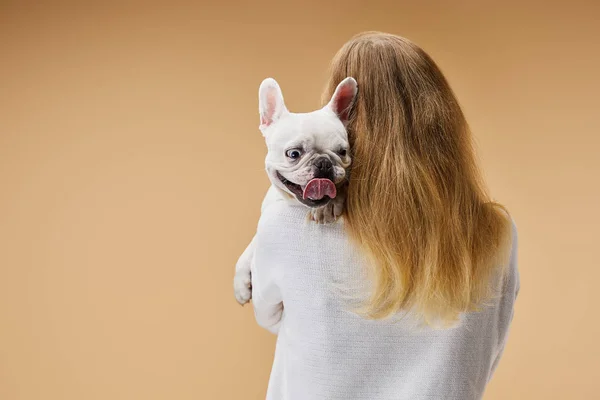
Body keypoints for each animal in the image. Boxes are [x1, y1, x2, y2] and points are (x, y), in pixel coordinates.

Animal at [233, 76, 356, 304]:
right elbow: (252, 245)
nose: (324, 163)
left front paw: (327, 207)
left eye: (342, 152)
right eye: (293, 154)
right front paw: (240, 282)